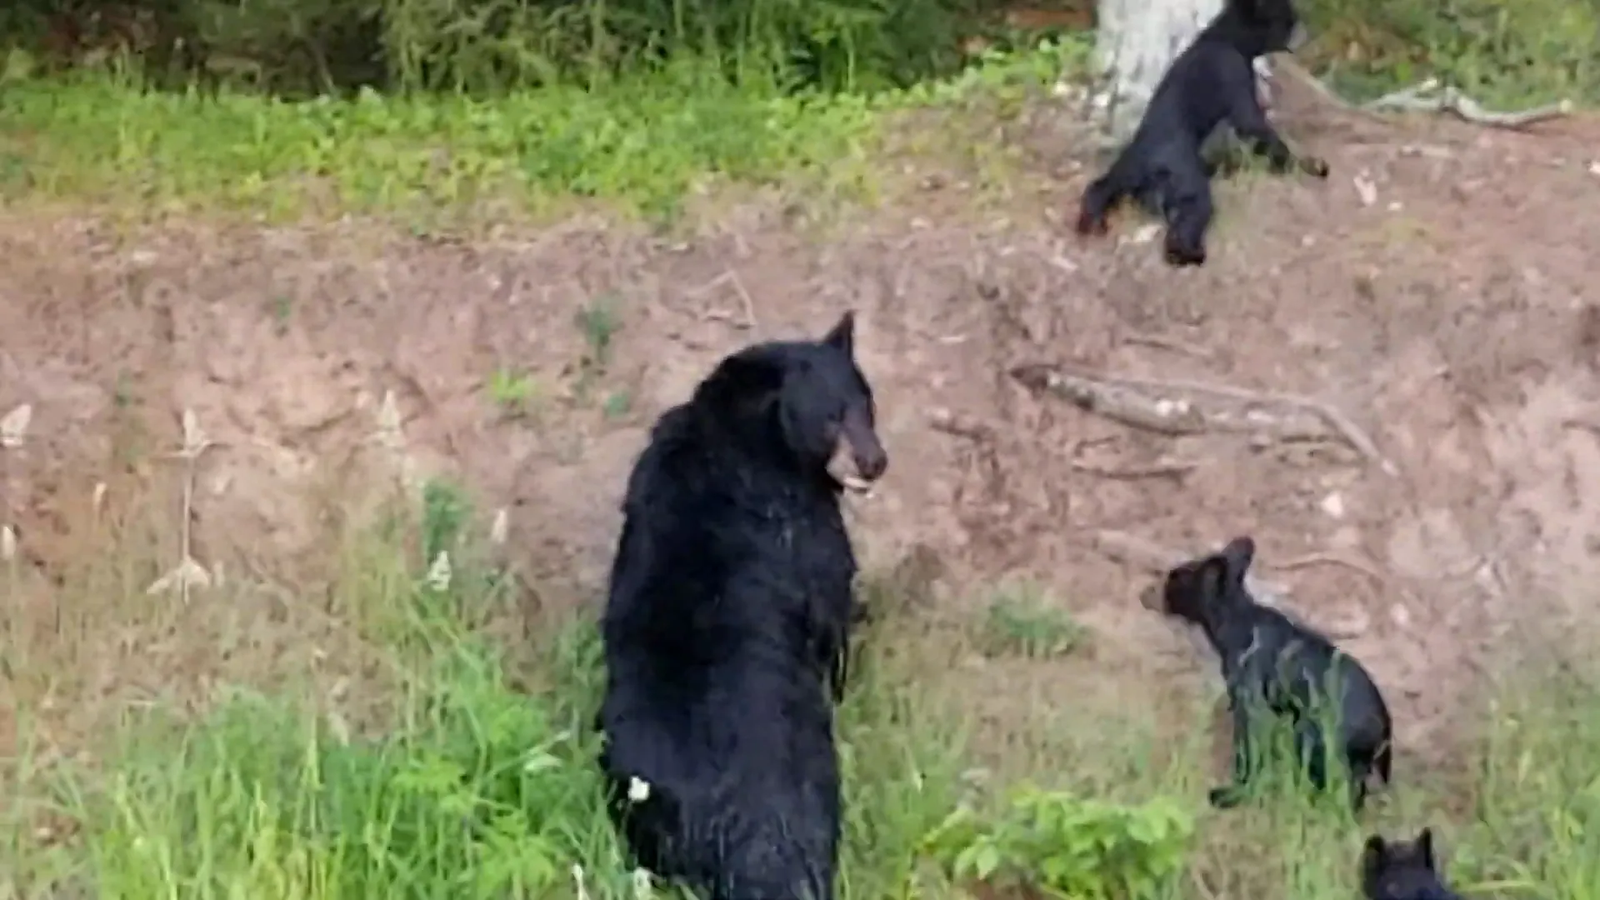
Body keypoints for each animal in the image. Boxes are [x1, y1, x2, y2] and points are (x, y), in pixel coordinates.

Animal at [595, 310, 889, 896]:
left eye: (867, 405)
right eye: (830, 417)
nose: (875, 462)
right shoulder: (805, 527)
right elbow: (832, 609)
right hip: (807, 775)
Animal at [1081, 0, 1331, 265]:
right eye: (1289, 19)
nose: (1305, 30)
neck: (1227, 38)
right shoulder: (1232, 70)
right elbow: (1252, 124)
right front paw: (1306, 164)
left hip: (1124, 169)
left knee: (1099, 187)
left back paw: (1091, 219)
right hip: (1184, 175)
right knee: (1192, 212)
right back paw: (1190, 251)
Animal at [1152, 534, 1388, 810]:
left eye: (1175, 578)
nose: (1156, 590)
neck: (1238, 620)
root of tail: (1384, 728)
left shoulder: (1250, 708)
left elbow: (1247, 754)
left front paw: (1233, 794)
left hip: (1312, 735)